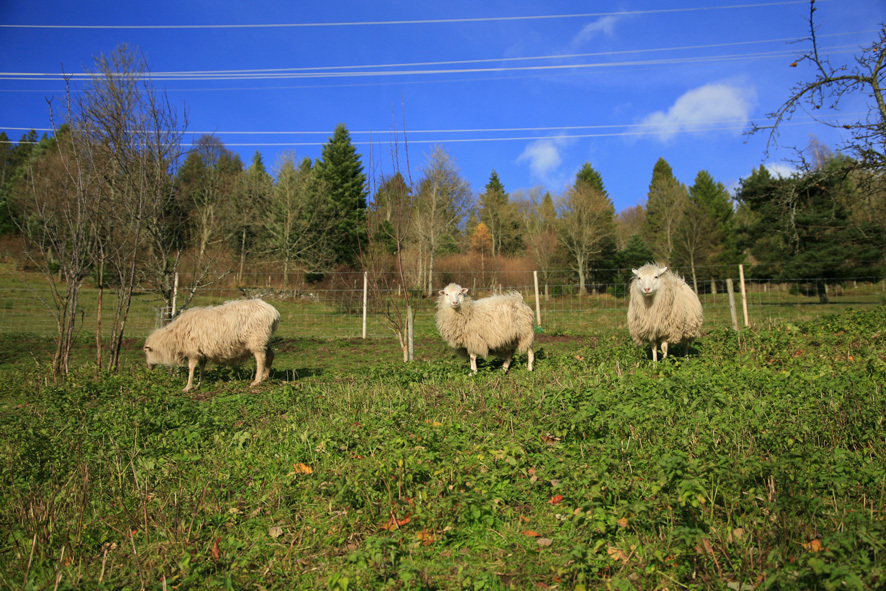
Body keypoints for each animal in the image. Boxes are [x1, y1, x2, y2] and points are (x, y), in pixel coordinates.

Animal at [144, 298, 281, 392]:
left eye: (146, 352)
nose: (148, 367)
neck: (174, 337)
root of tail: (273, 312)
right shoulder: (201, 353)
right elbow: (202, 367)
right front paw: (200, 383)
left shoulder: (193, 351)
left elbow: (191, 369)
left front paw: (188, 387)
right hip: (264, 339)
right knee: (271, 355)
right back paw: (265, 376)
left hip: (256, 339)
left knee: (261, 358)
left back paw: (257, 381)